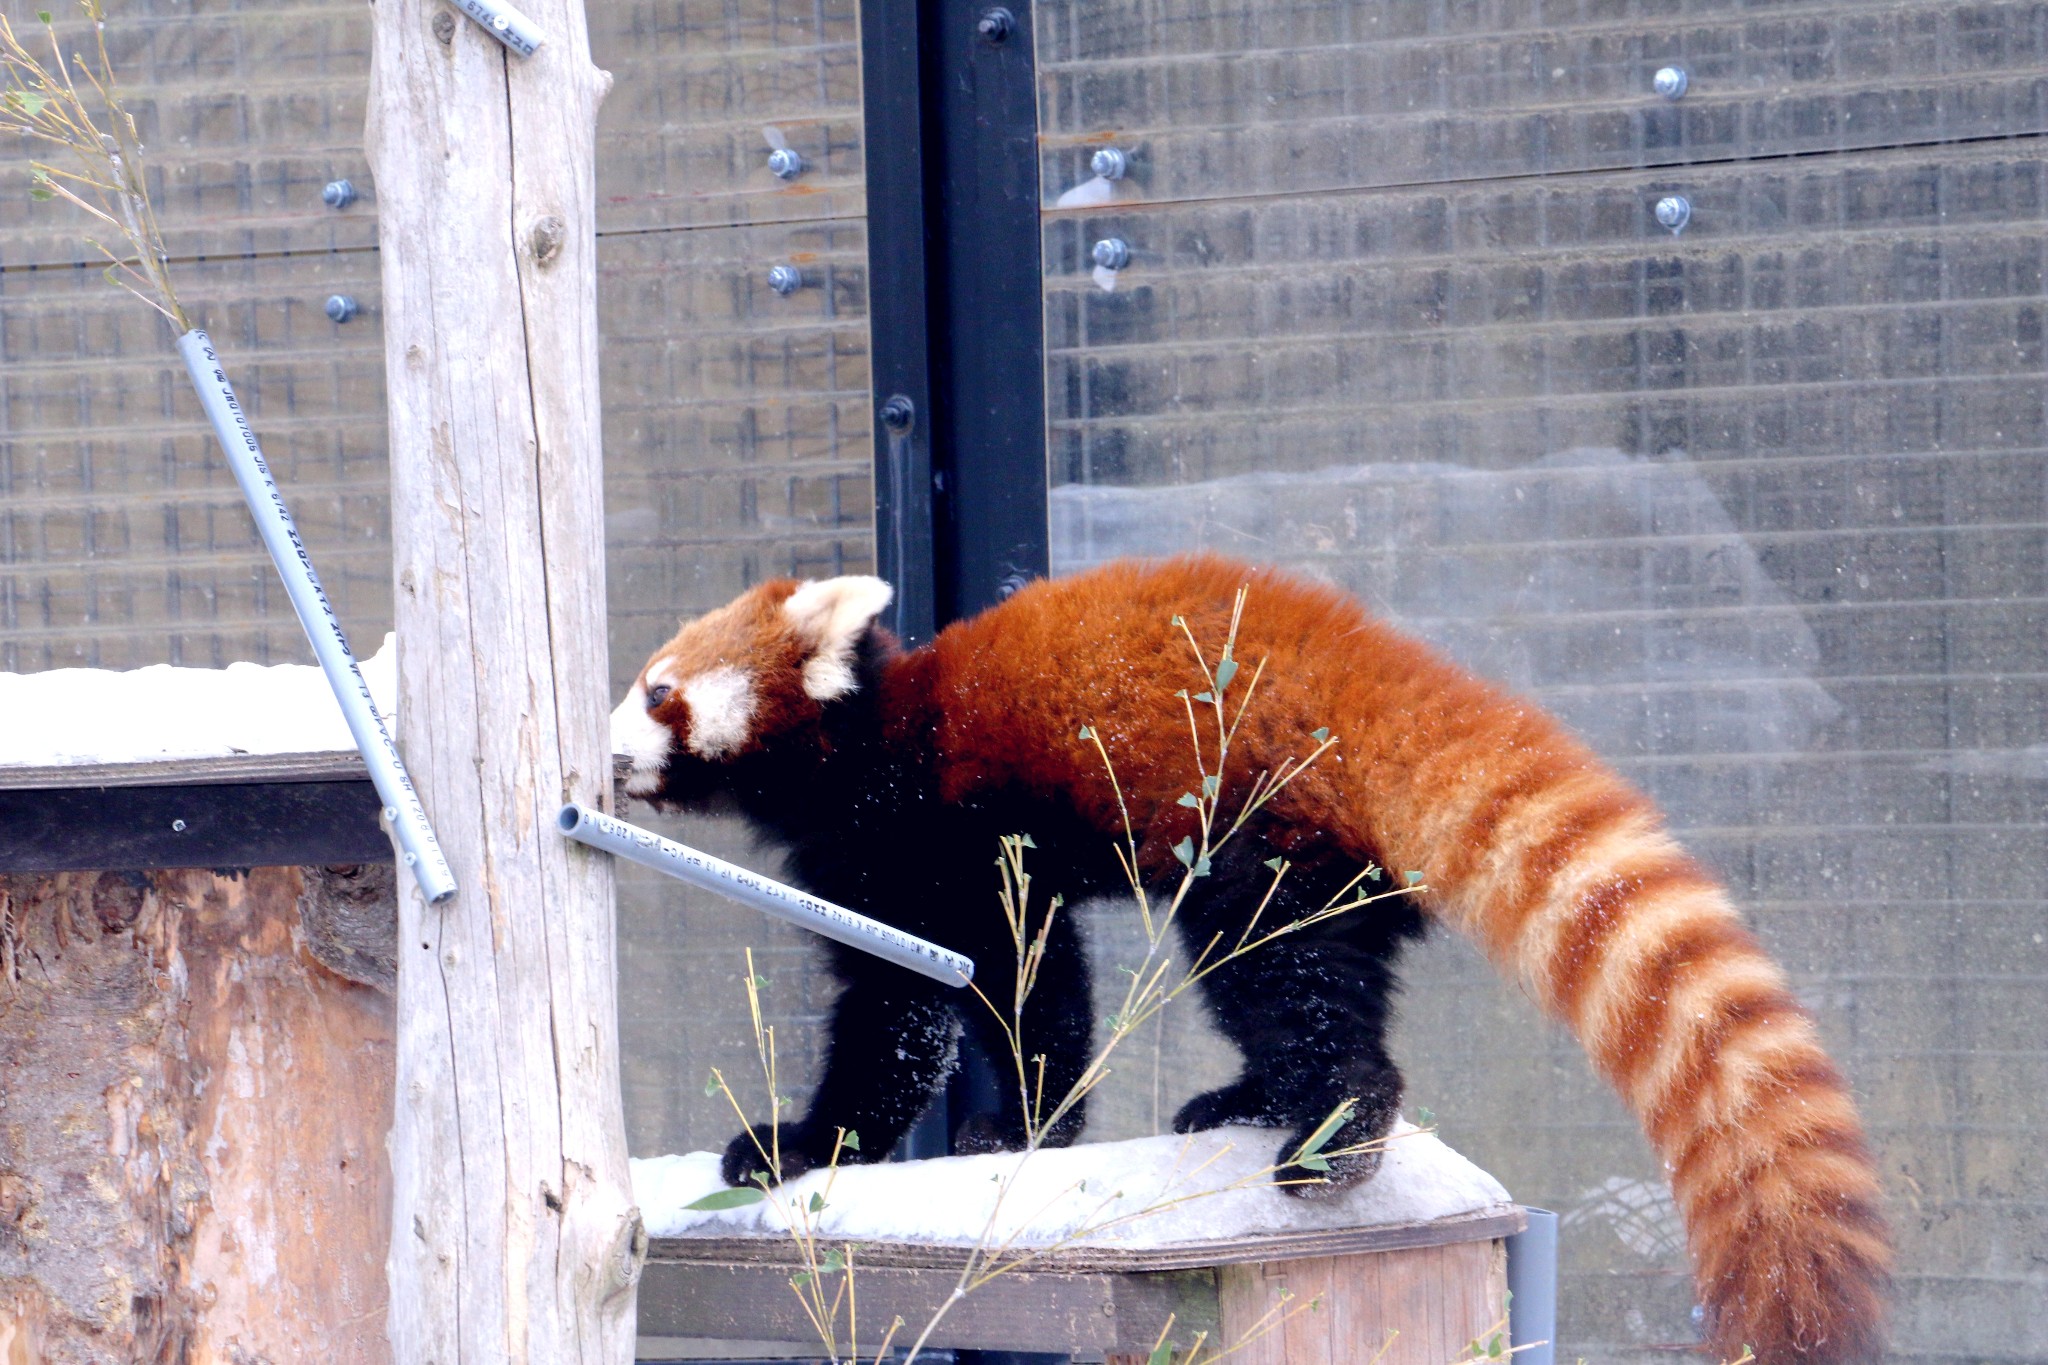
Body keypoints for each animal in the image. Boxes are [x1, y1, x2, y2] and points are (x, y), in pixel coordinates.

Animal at [618, 548, 1884, 1358]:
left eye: (658, 687)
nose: (611, 744)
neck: (870, 732)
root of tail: (1363, 669)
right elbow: (1032, 993)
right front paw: (1020, 1131)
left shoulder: (928, 832)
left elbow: (934, 1008)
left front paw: (814, 1142)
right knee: (1322, 975)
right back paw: (1249, 1101)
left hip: (1257, 827)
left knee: (1279, 978)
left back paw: (1333, 1127)